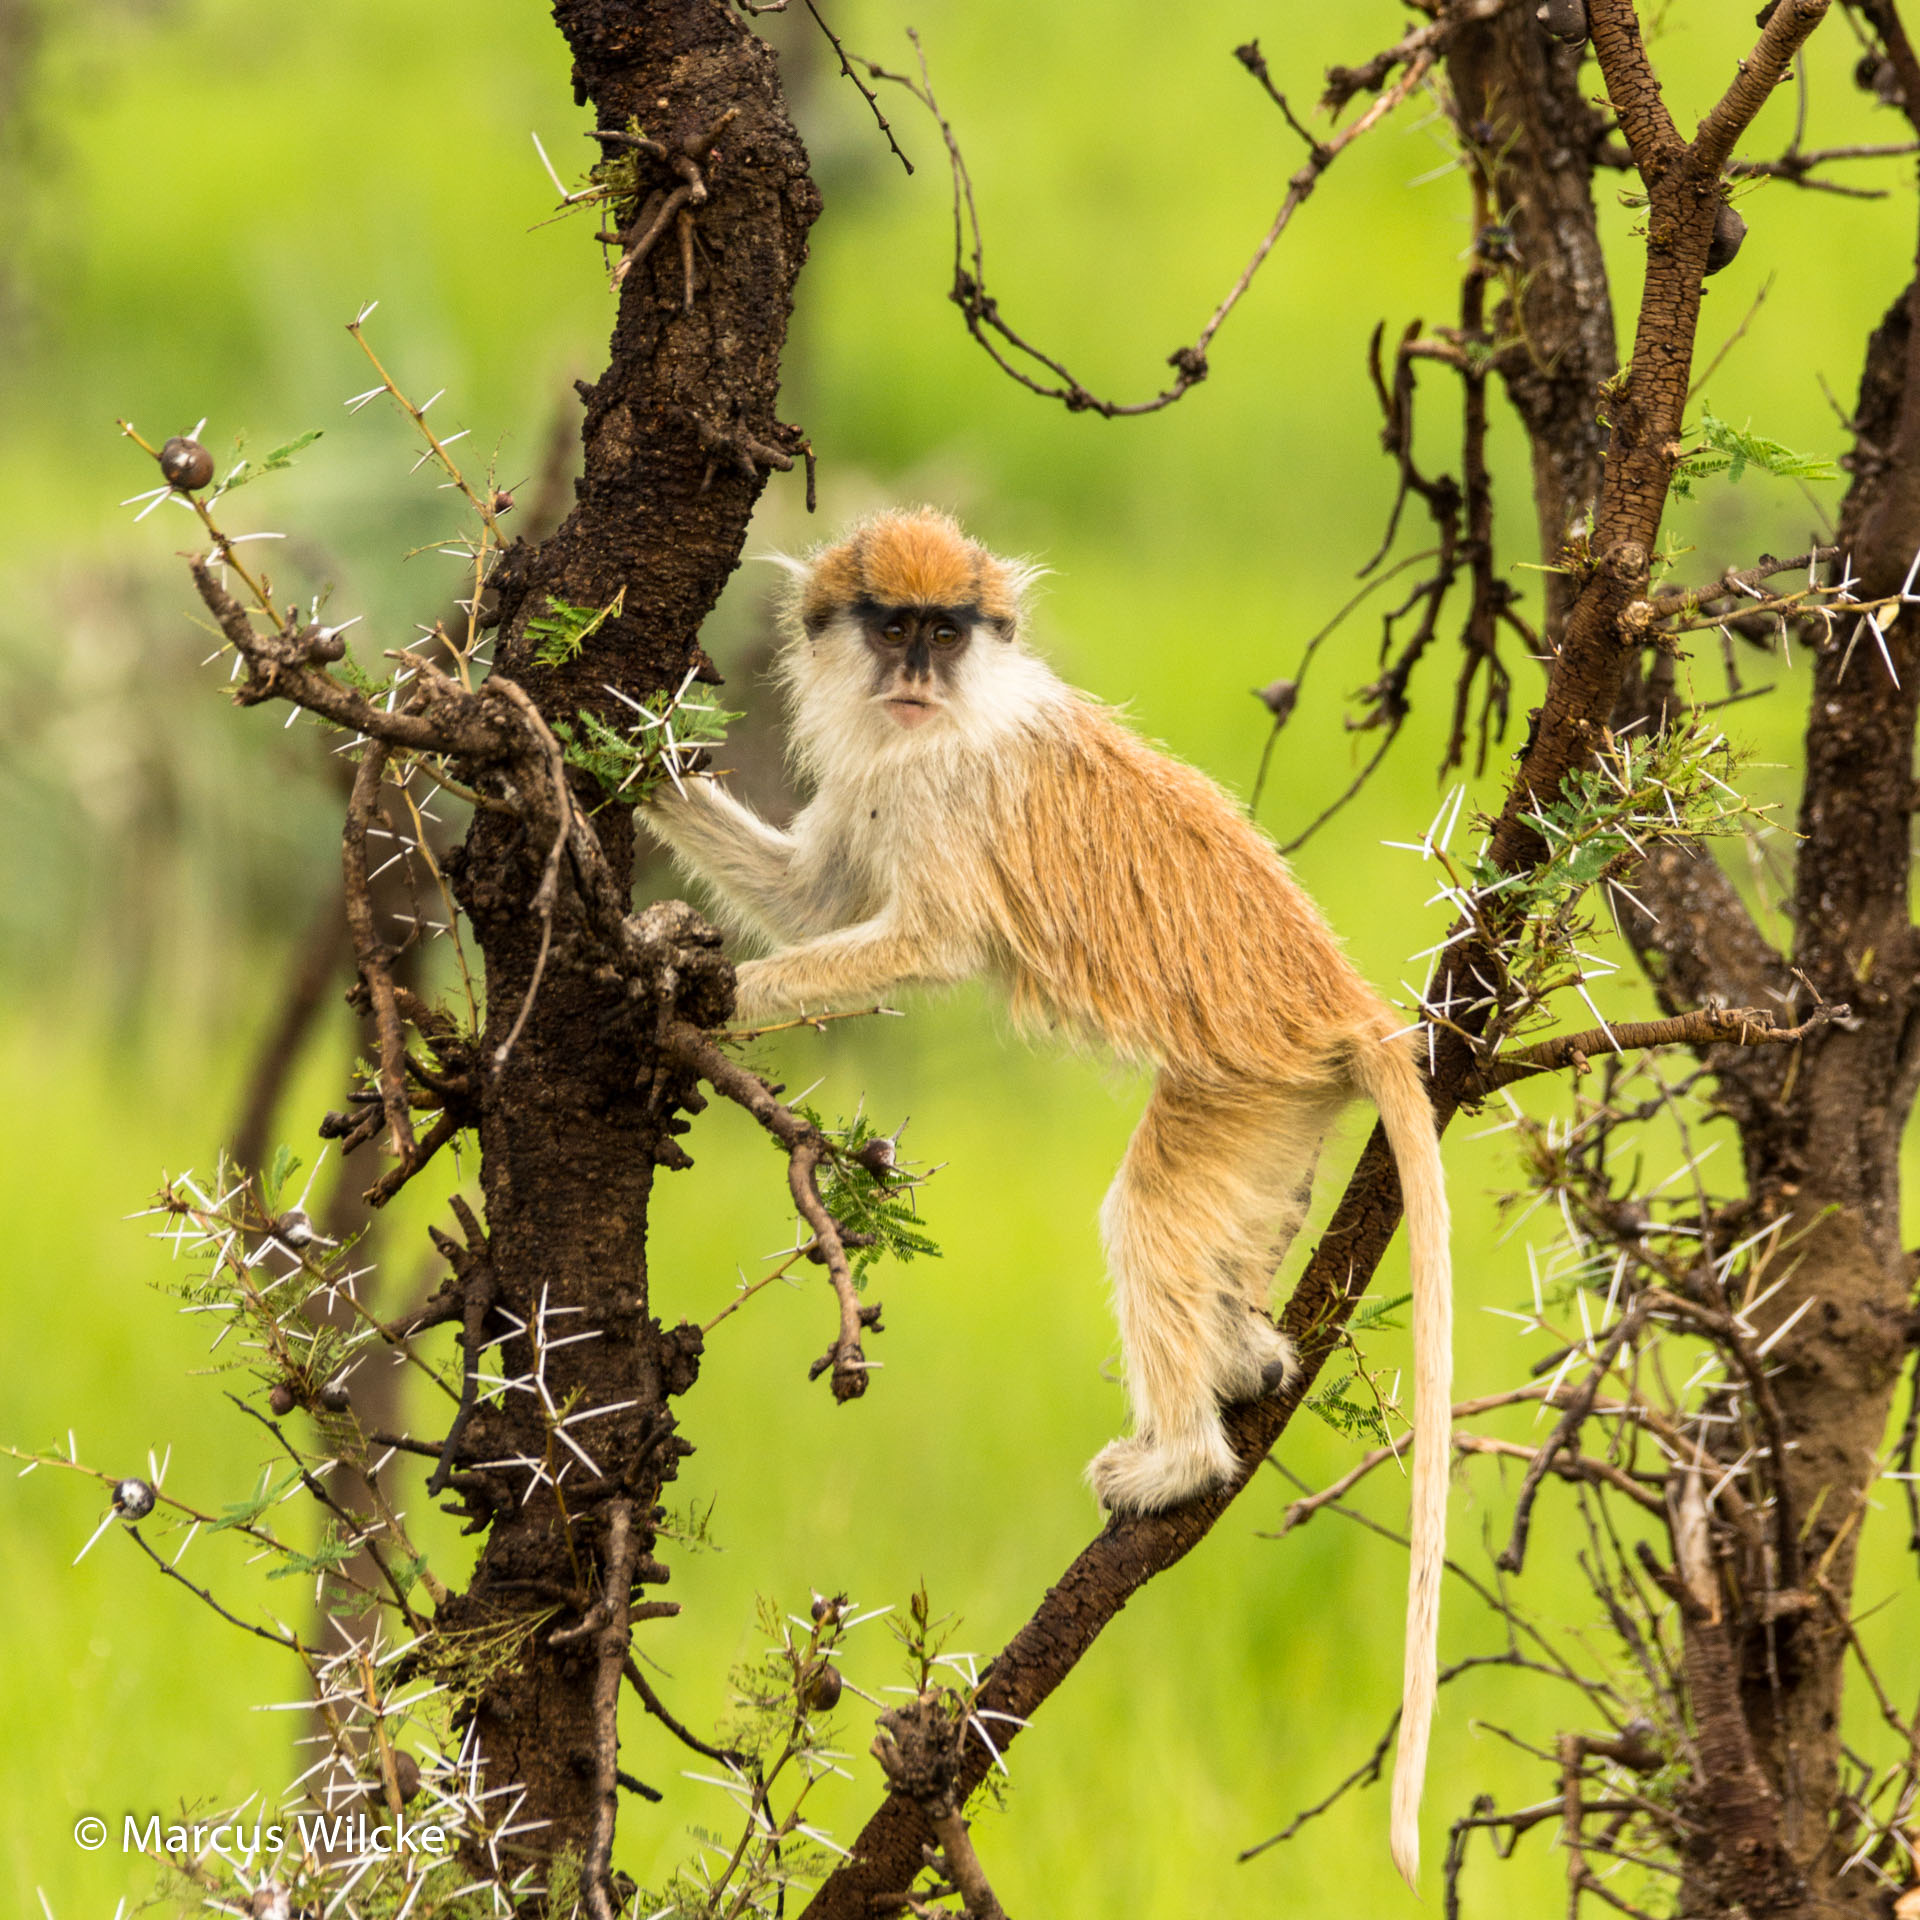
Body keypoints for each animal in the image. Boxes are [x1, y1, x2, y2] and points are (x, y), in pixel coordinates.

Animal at [637, 510, 1443, 1889]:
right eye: (889, 625)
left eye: (944, 630)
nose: (914, 668)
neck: (942, 722)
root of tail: (1337, 999)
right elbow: (813, 897)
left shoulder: (940, 793)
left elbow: (923, 942)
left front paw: (679, 997)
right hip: (1279, 1104)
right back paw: (1248, 1358)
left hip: (1248, 1075)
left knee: (1153, 1214)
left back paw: (1179, 1460)